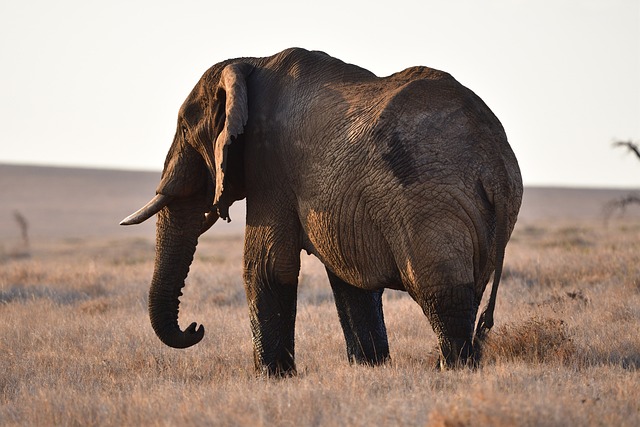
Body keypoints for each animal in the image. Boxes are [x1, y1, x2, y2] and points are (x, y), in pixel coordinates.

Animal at [122, 46, 524, 374]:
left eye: (184, 129)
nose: (196, 327)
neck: (250, 62)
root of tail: (496, 164)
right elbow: (350, 281)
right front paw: (370, 368)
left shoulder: (270, 165)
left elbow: (266, 266)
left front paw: (273, 378)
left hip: (431, 203)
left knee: (442, 295)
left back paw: (450, 371)